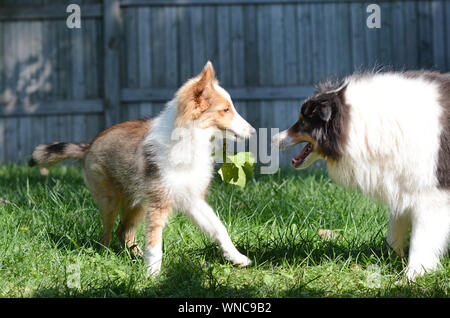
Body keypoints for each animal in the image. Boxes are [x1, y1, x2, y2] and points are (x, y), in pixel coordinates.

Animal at [29, 62, 255, 276]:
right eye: (226, 109)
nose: (253, 132)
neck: (189, 139)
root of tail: (88, 146)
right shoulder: (159, 204)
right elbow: (155, 244)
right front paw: (152, 275)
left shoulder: (192, 199)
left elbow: (218, 228)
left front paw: (237, 257)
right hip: (110, 200)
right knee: (107, 233)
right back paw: (106, 256)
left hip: (137, 203)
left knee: (124, 231)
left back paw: (135, 256)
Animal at [272, 71, 448, 280]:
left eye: (303, 122)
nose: (273, 139)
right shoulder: (403, 183)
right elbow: (394, 229)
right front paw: (391, 260)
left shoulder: (431, 194)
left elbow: (421, 239)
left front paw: (414, 274)